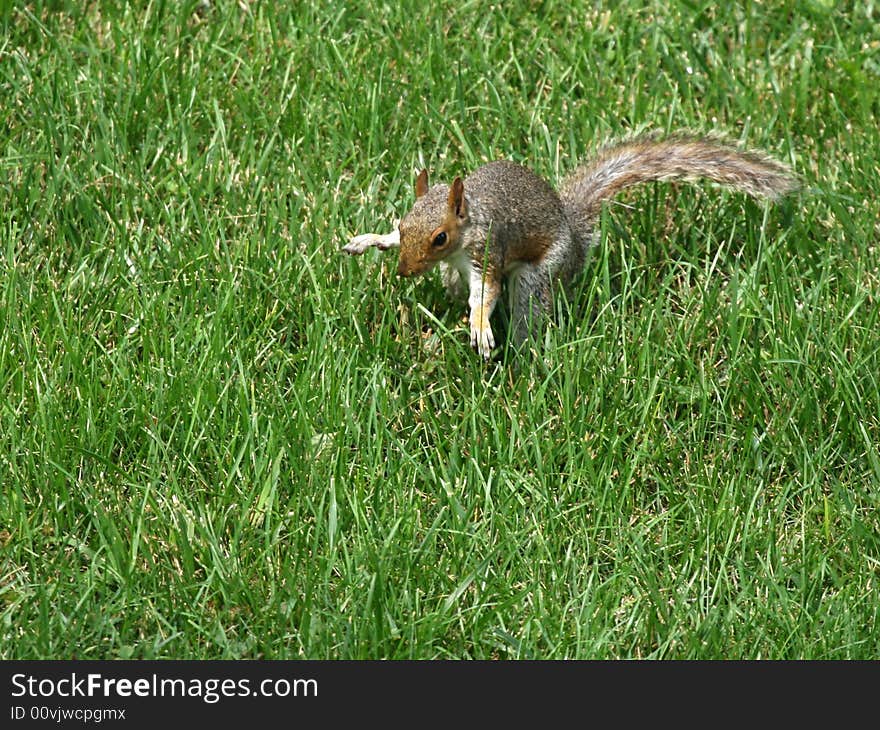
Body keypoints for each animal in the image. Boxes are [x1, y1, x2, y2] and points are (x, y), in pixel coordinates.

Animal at [344, 133, 796, 358]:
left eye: (439, 237)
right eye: (403, 223)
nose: (404, 271)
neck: (469, 218)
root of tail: (575, 237)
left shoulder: (488, 250)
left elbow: (486, 294)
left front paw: (481, 329)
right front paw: (368, 240)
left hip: (540, 274)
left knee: (527, 305)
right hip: (452, 277)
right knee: (456, 288)